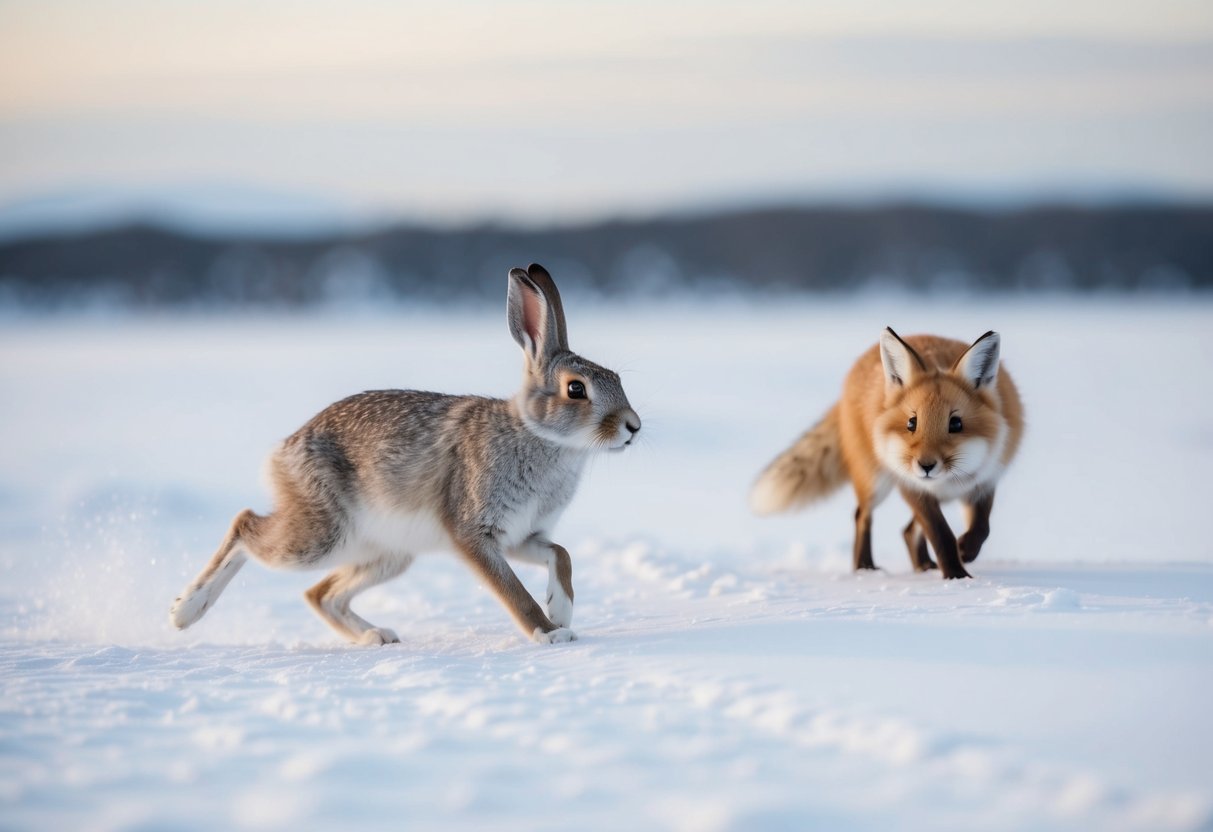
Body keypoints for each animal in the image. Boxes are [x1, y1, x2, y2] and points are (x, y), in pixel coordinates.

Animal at [170, 263, 641, 645]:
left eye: (617, 379)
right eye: (576, 389)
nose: (633, 426)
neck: (539, 436)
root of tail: (283, 451)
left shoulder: (523, 536)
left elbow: (561, 554)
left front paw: (562, 610)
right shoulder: (473, 532)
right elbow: (513, 593)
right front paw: (550, 633)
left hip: (388, 554)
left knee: (319, 593)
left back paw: (375, 637)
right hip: (322, 534)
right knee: (245, 524)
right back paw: (184, 612)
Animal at [750, 328, 1023, 579]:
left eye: (955, 424)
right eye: (912, 423)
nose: (926, 466)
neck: (947, 481)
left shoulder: (983, 481)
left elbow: (982, 529)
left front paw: (965, 551)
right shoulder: (911, 485)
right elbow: (941, 534)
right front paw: (956, 577)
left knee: (908, 531)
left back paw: (923, 565)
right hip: (874, 481)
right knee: (862, 515)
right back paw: (864, 568)